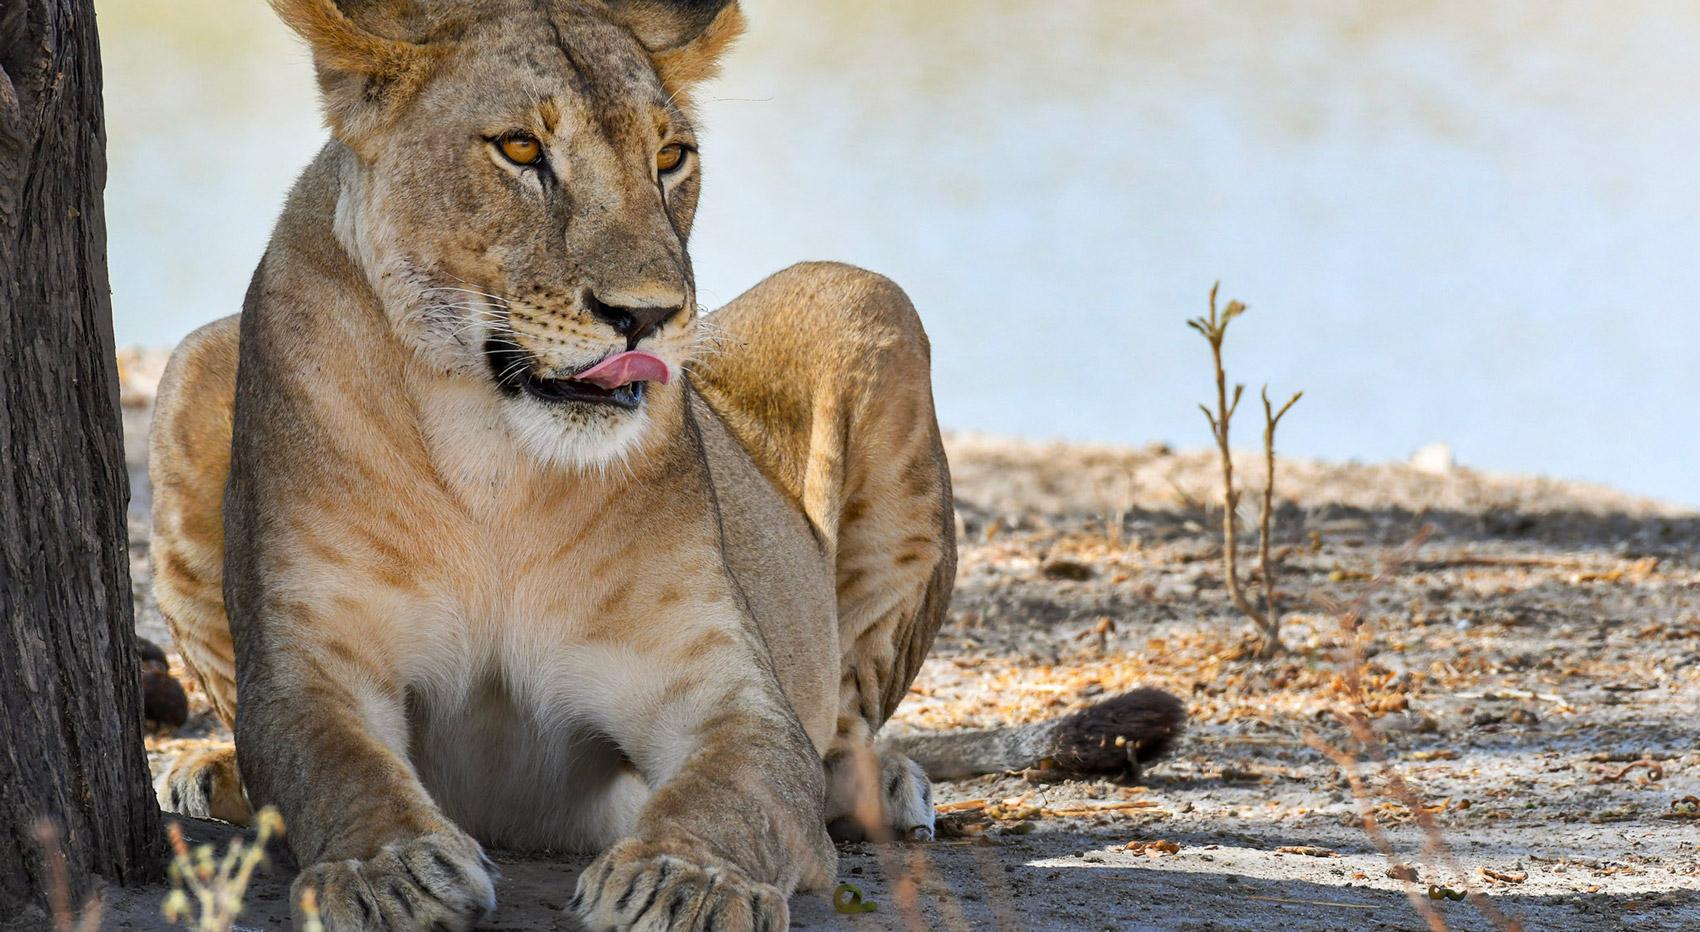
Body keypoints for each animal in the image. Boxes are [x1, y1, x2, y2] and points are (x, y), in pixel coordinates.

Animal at [147, 1, 1183, 929]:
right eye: (519, 150)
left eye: (670, 157)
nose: (646, 316)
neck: (492, 462)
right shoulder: (309, 666)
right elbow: (337, 766)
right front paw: (387, 872)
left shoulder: (724, 691)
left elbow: (736, 789)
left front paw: (685, 882)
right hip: (195, 361)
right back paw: (214, 771)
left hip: (866, 298)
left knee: (846, 725)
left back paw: (883, 788)